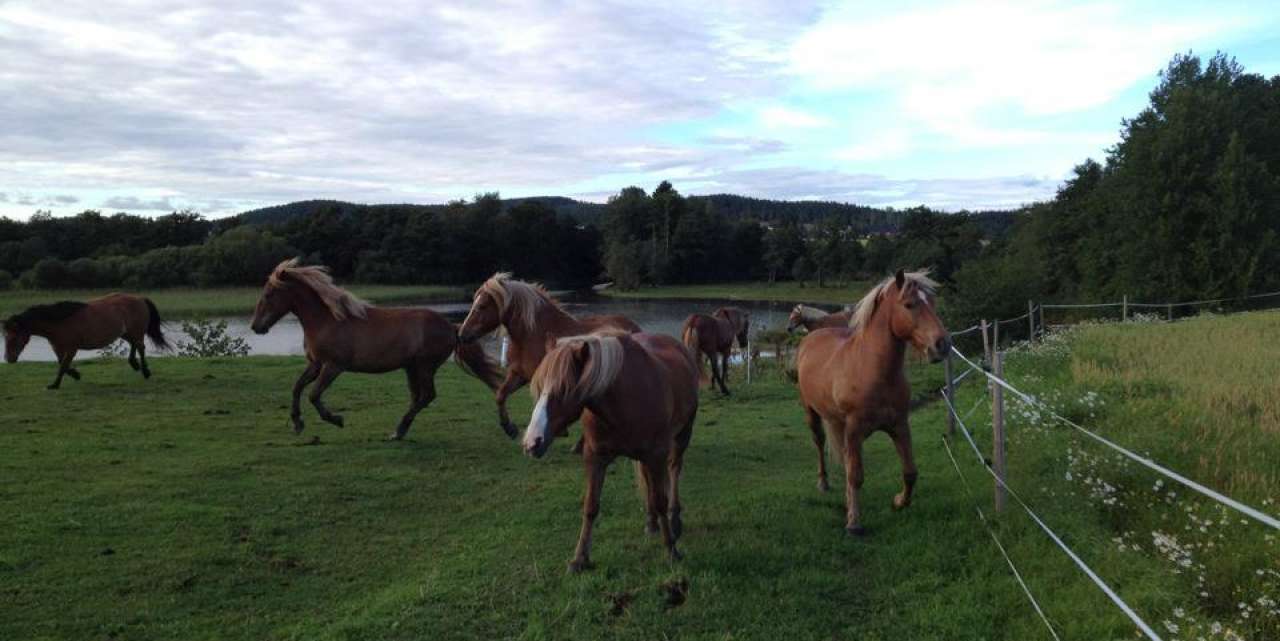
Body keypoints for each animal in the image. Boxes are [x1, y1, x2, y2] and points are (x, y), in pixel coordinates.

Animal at [3, 292, 171, 386]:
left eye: (13, 337)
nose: (8, 359)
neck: (59, 321)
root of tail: (140, 298)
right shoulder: (58, 347)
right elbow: (62, 363)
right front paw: (75, 374)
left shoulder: (72, 348)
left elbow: (63, 365)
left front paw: (55, 385)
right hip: (126, 333)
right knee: (135, 345)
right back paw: (135, 365)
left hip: (135, 331)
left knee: (141, 347)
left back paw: (145, 371)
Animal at [249, 255, 499, 440]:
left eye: (269, 294)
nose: (255, 326)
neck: (327, 320)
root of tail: (452, 326)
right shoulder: (316, 364)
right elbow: (297, 387)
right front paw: (297, 423)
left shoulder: (333, 366)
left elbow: (313, 394)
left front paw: (336, 420)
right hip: (411, 368)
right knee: (417, 397)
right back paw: (400, 432)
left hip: (425, 366)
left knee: (427, 396)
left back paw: (398, 431)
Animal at [458, 269, 645, 440]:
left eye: (482, 306)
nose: (462, 334)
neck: (533, 334)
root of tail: (633, 327)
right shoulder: (519, 375)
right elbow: (500, 395)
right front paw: (509, 428)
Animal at [522, 330, 701, 570]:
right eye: (539, 387)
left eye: (564, 389)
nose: (531, 442)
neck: (623, 401)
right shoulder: (595, 458)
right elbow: (591, 506)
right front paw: (579, 558)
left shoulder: (656, 455)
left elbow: (661, 500)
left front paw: (672, 550)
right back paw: (651, 521)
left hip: (682, 435)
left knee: (674, 470)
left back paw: (675, 521)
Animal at [793, 268, 947, 534]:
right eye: (909, 304)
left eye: (933, 302)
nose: (942, 345)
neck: (873, 370)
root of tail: (810, 337)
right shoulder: (855, 430)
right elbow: (856, 475)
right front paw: (854, 523)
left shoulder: (899, 426)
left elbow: (910, 472)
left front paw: (899, 501)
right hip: (812, 412)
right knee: (819, 442)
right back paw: (823, 483)